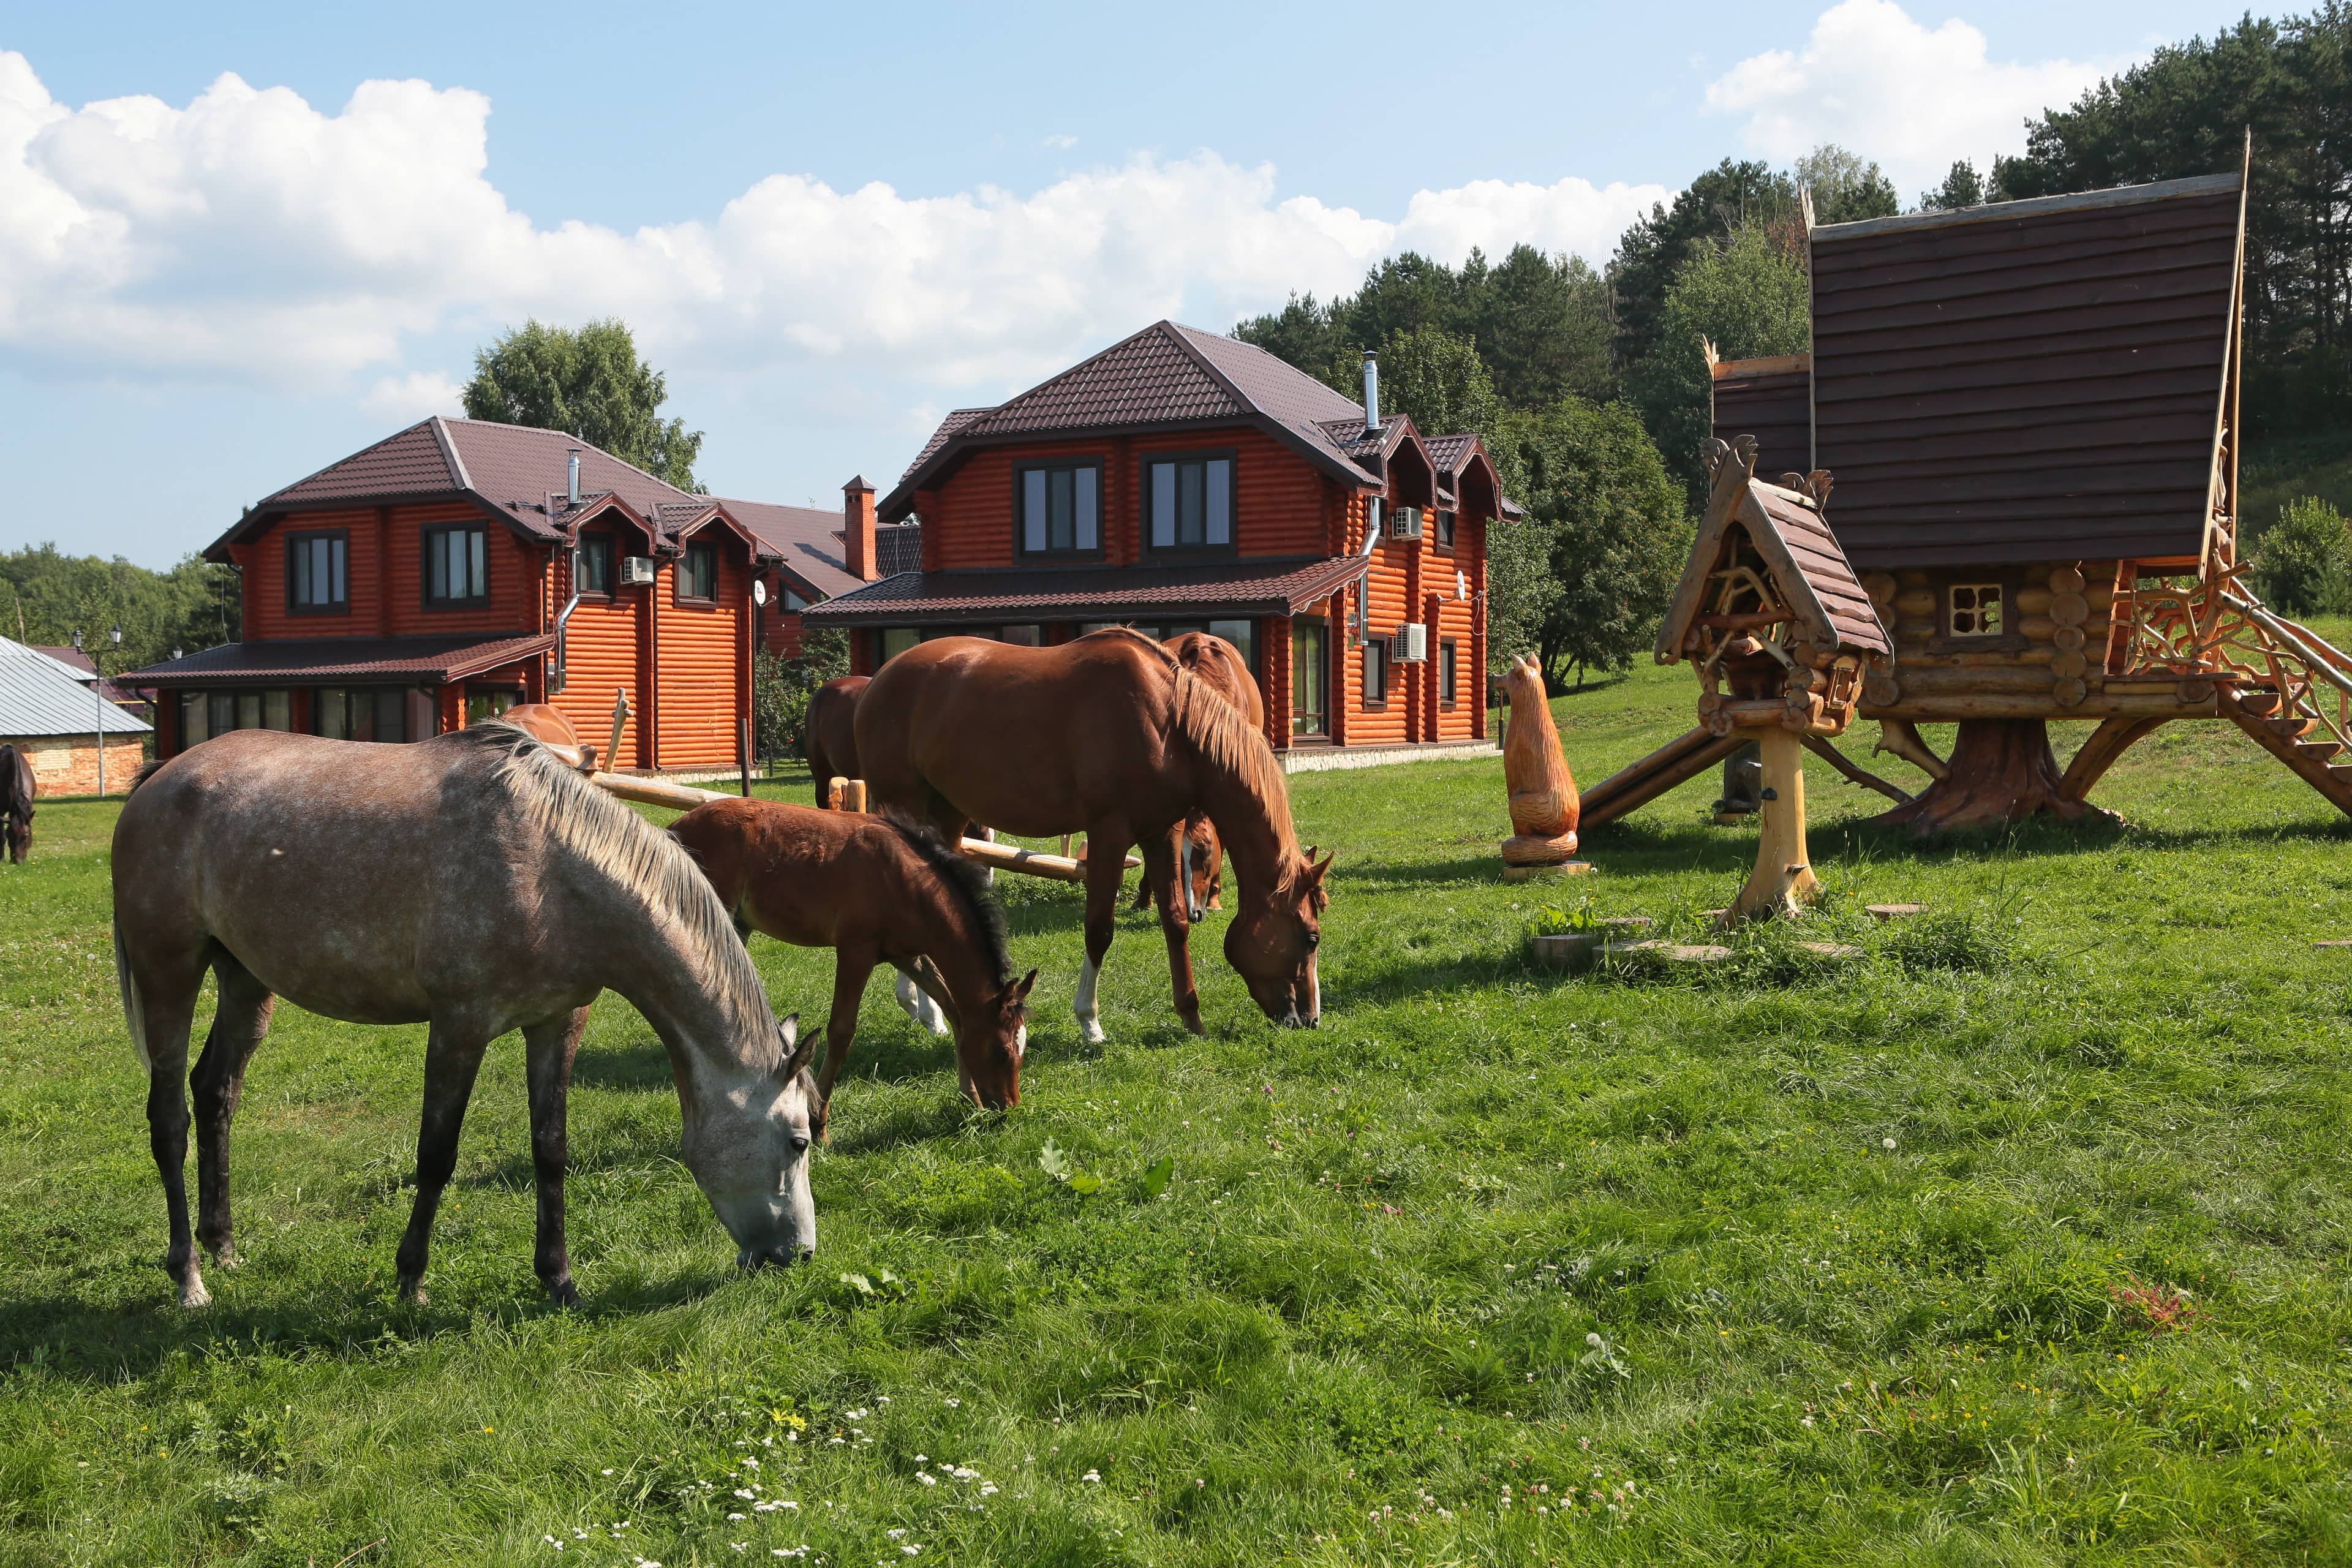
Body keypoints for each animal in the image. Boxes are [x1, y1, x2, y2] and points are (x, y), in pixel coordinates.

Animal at [851, 625, 1336, 1044]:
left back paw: (930, 1010)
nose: (1310, 1019)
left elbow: (1175, 921)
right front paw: (1090, 1023)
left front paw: (1191, 1017)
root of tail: (879, 682)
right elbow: (1099, 929)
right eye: (1311, 937)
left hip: (947, 815)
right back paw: (926, 1011)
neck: (1170, 724)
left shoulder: (1160, 833)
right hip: (907, 805)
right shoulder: (1110, 832)